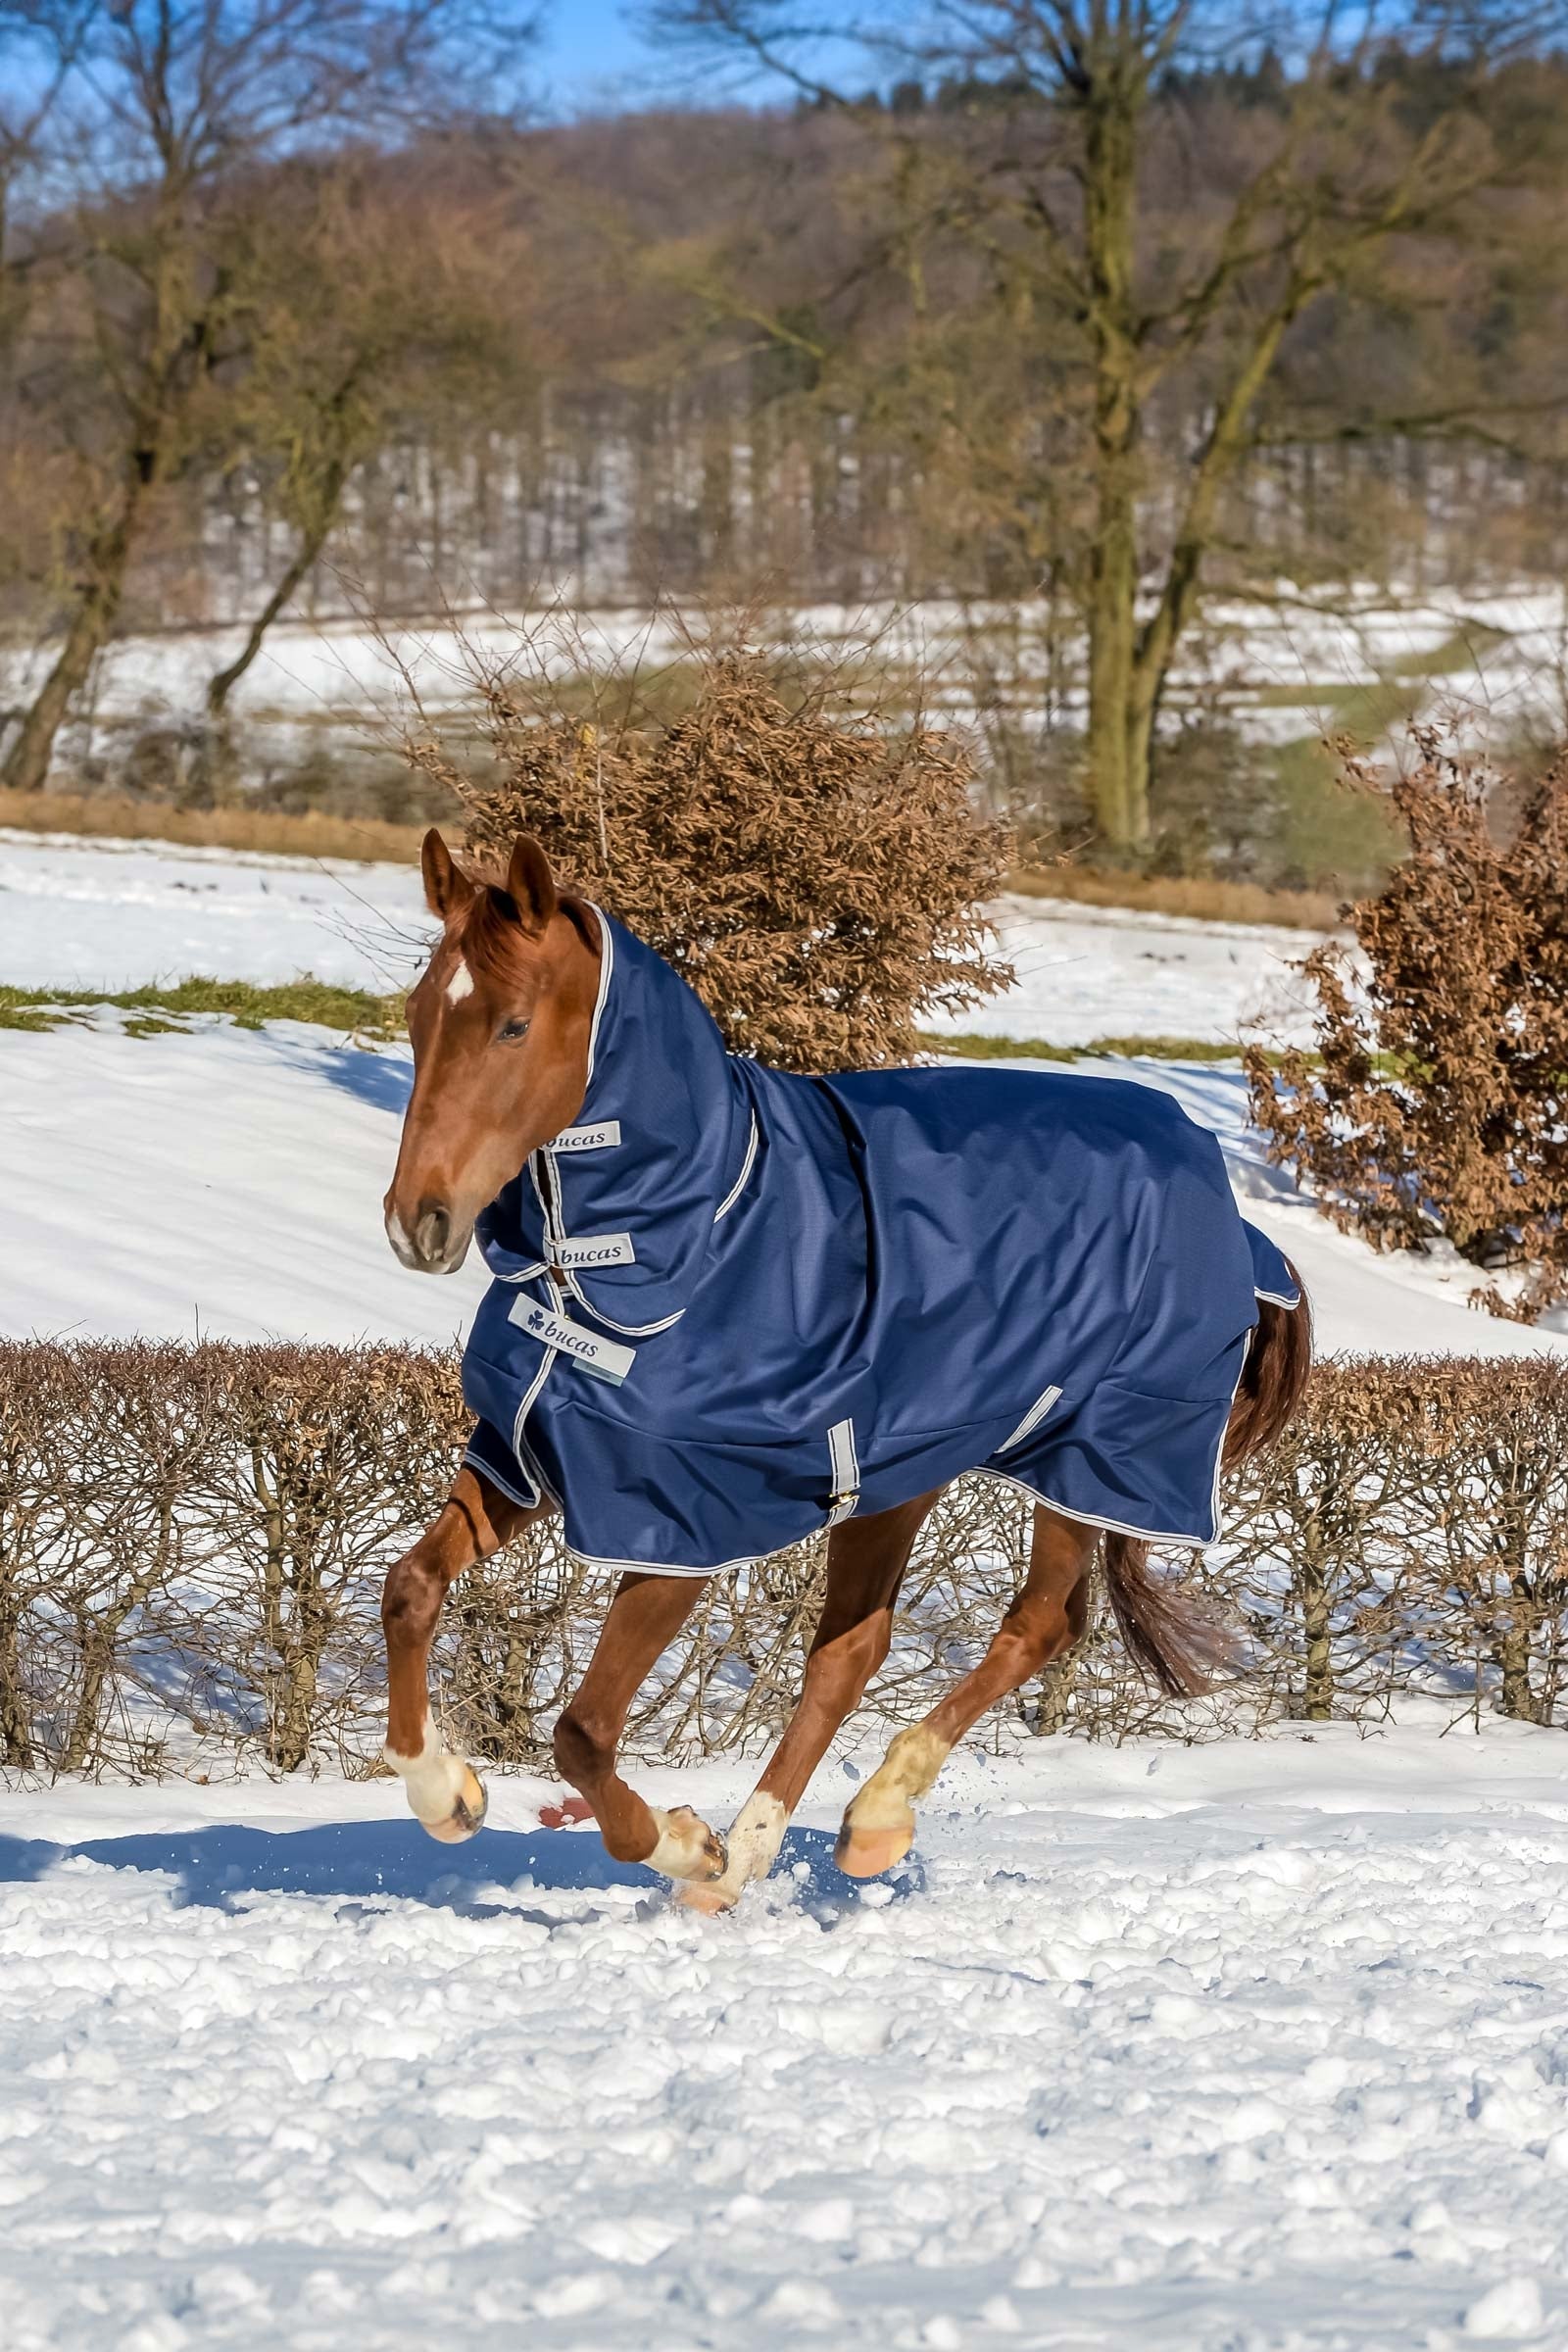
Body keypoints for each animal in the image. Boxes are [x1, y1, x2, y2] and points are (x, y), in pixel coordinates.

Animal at [379, 829, 1311, 1910]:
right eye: (418, 1015)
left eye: (514, 1024)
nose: (418, 1222)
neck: (688, 1237)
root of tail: (1224, 1200)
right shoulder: (526, 1455)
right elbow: (409, 1590)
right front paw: (448, 1793)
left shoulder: (676, 1528)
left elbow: (581, 1734)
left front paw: (681, 1841)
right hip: (893, 1475)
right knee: (851, 1650)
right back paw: (752, 1855)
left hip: (1093, 1460)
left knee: (1038, 1625)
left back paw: (864, 1822)